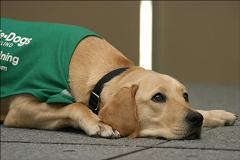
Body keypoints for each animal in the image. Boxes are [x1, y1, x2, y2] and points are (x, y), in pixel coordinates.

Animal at [0, 24, 236, 140]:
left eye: (185, 95)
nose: (196, 119)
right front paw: (98, 123)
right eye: (158, 97)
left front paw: (215, 114)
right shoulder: (21, 107)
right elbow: (75, 106)